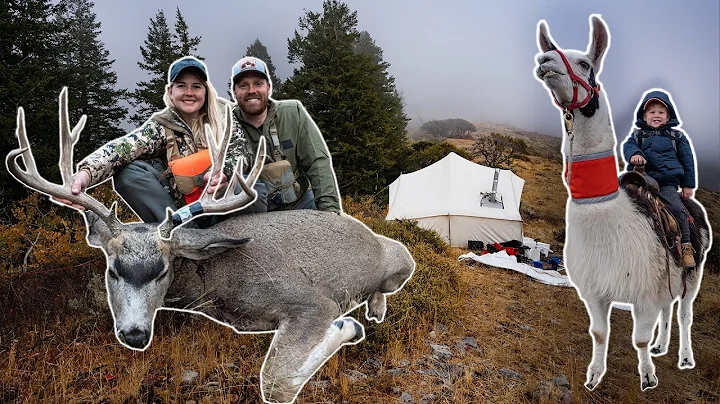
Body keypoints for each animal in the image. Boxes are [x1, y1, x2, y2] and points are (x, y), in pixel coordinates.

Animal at [6, 88, 416, 404]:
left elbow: (276, 382)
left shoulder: (313, 302)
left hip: (403, 260)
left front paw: (348, 327)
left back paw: (375, 310)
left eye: (163, 271)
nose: (134, 335)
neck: (216, 280)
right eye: (113, 270)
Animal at [533, 15, 711, 391]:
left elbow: (638, 338)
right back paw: (661, 346)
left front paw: (647, 377)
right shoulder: (595, 291)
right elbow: (600, 333)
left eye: (585, 63)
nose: (545, 61)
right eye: (550, 52)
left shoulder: (643, 292)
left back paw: (684, 357)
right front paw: (593, 377)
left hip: (694, 271)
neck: (609, 218)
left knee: (685, 312)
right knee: (668, 308)